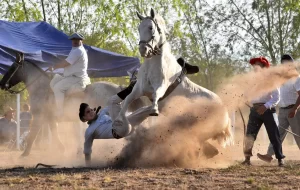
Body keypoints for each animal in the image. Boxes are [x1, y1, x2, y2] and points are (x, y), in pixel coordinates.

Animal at [116, 8, 233, 147]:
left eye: (151, 28)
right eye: (139, 28)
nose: (143, 50)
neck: (153, 65)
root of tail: (225, 112)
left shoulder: (161, 86)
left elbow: (156, 95)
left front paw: (154, 110)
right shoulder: (138, 89)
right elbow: (127, 100)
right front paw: (120, 124)